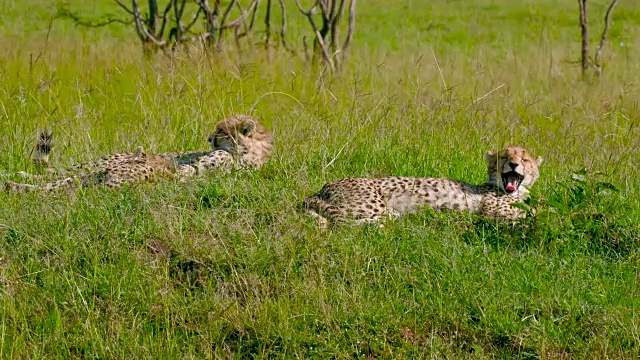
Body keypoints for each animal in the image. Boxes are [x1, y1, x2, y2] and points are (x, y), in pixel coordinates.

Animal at [5, 115, 272, 194]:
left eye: (220, 131)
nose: (208, 138)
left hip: (94, 172)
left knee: (56, 181)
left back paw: (12, 182)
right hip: (94, 165)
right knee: (55, 174)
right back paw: (16, 175)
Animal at [304, 146, 540, 225]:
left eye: (524, 159)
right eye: (504, 156)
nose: (514, 163)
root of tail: (323, 187)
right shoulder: (494, 210)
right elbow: (531, 214)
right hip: (370, 203)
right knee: (343, 222)